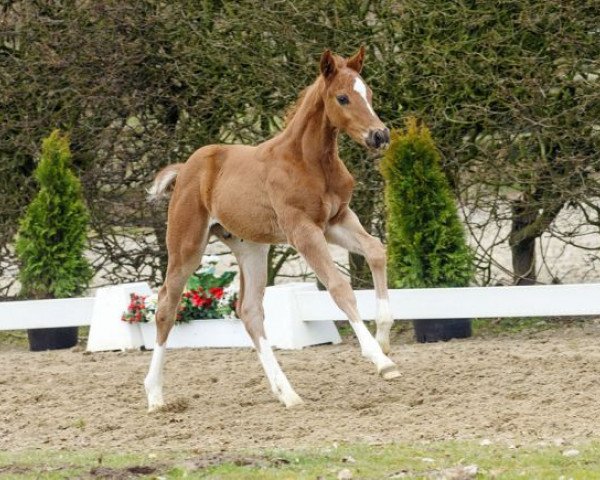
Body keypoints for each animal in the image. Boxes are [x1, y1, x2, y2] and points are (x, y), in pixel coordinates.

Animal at [145, 47, 398, 410]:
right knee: (167, 304)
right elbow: (339, 287)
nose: (380, 136)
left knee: (249, 311)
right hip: (186, 246)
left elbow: (377, 251)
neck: (310, 162)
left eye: (370, 94)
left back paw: (287, 393)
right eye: (343, 97)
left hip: (251, 247)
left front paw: (384, 339)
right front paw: (381, 360)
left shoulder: (336, 221)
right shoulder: (303, 231)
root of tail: (186, 169)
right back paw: (154, 395)